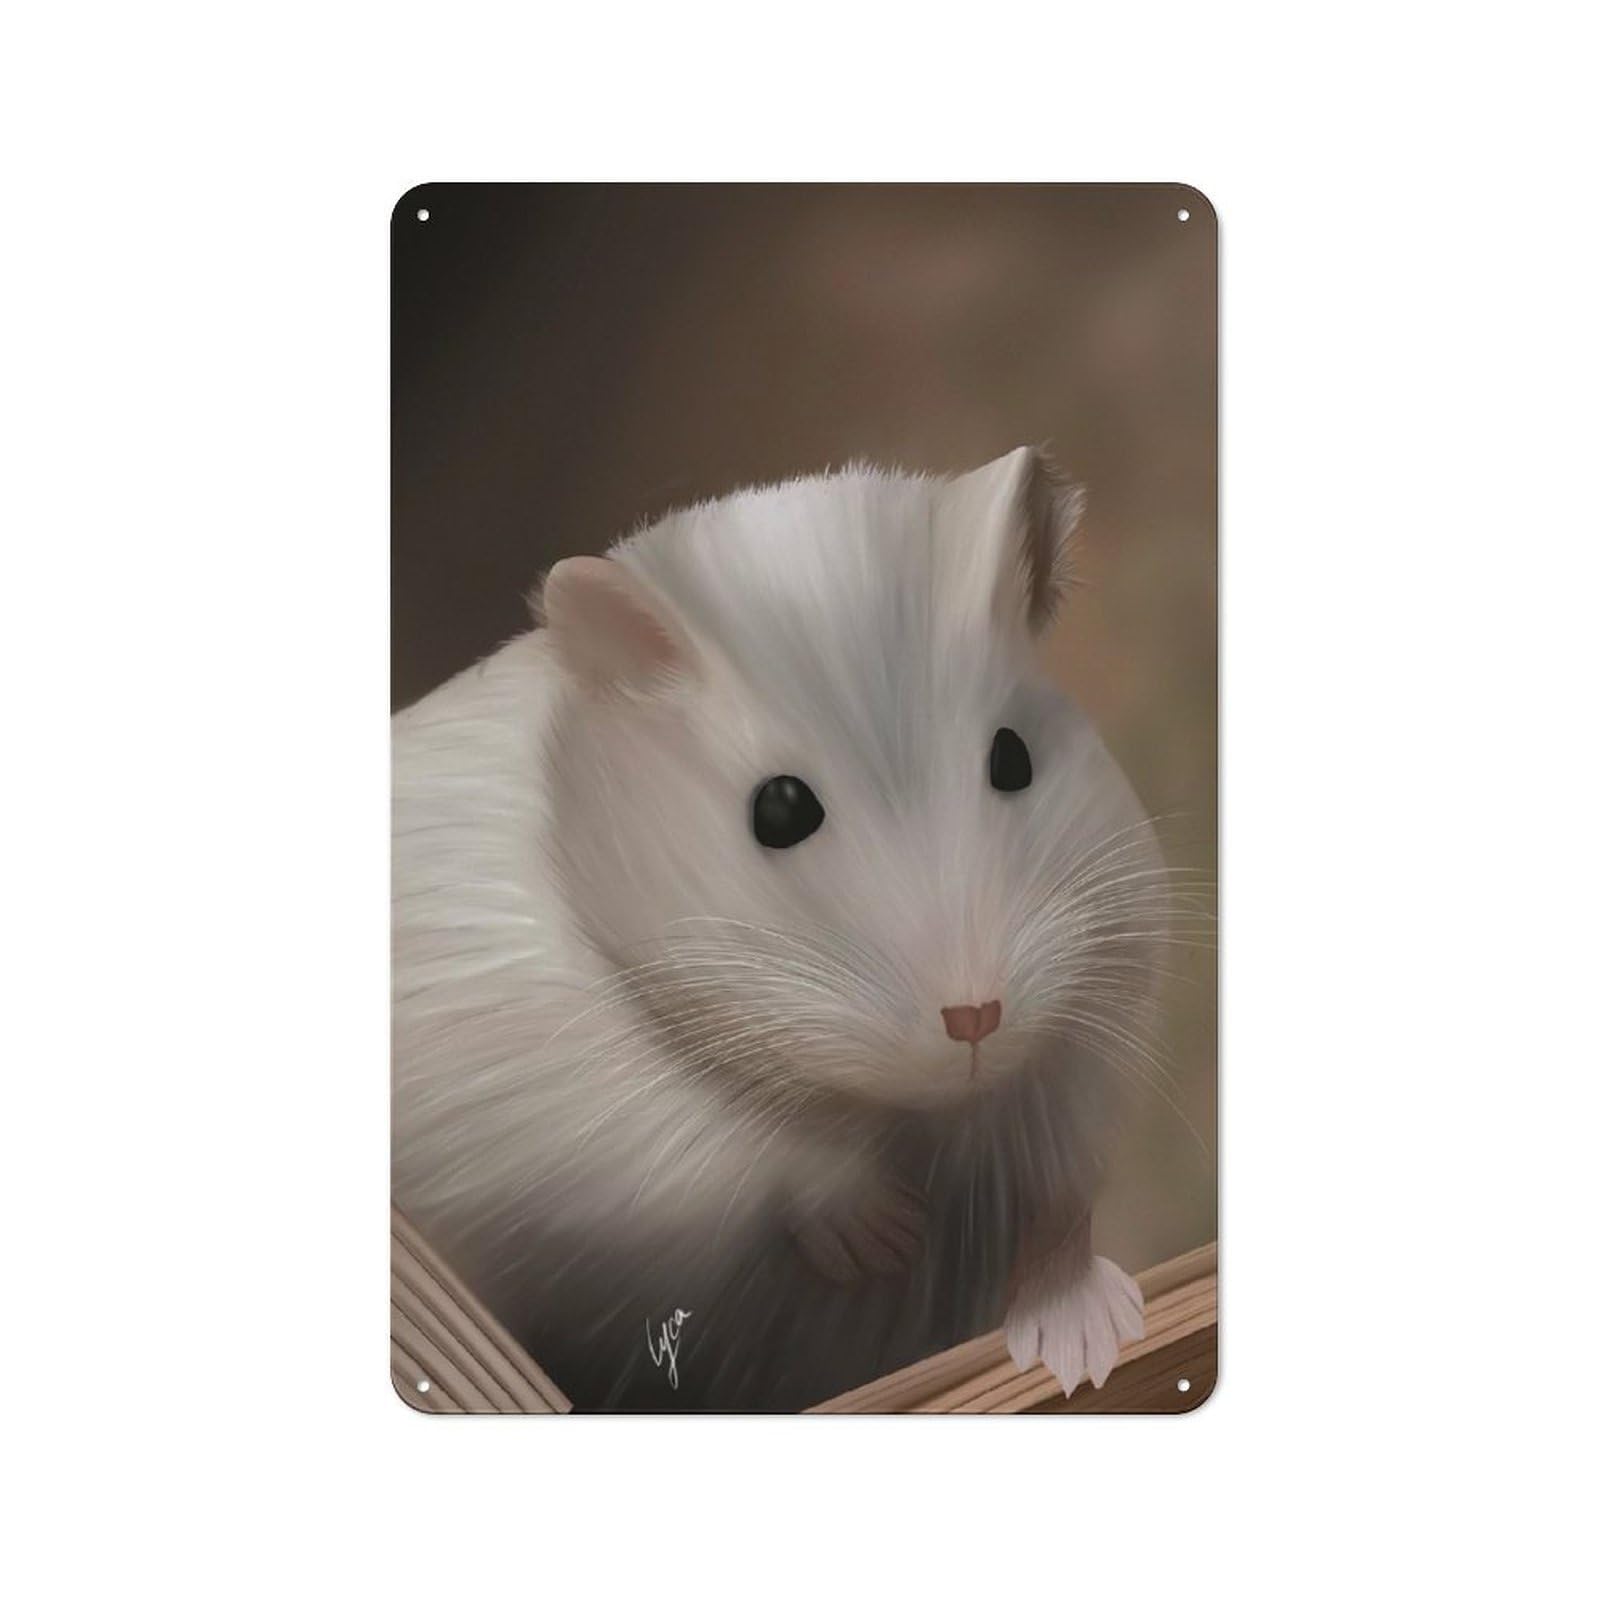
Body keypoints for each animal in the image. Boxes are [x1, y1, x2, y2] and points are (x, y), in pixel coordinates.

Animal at [392, 446, 1165, 1411]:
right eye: (780, 809)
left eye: (1015, 757)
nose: (975, 1021)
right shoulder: (590, 1105)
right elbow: (750, 1141)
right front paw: (886, 1238)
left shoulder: (1098, 1013)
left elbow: (1059, 1199)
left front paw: (1085, 1346)